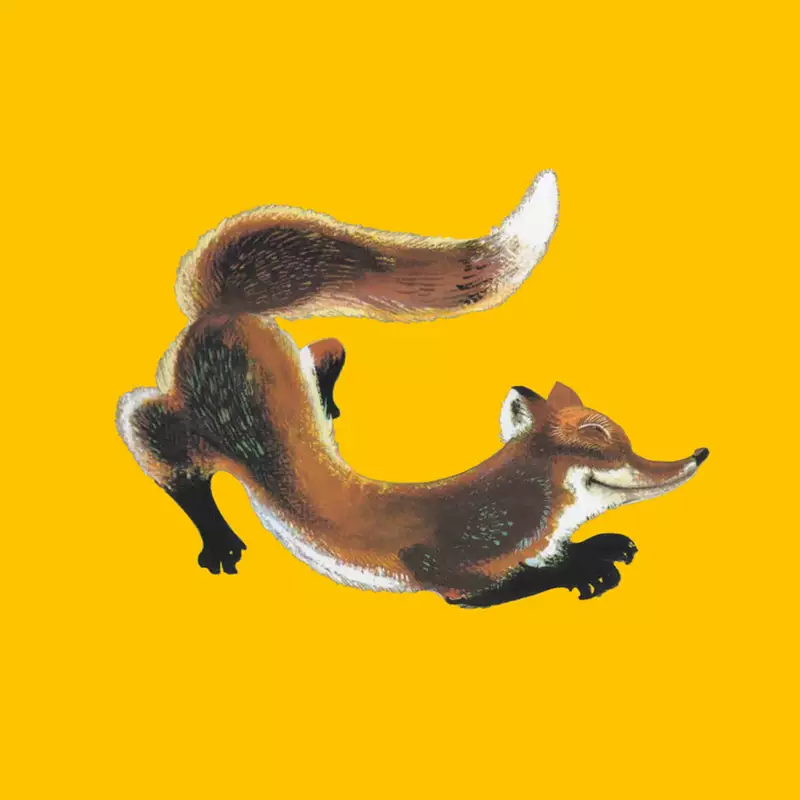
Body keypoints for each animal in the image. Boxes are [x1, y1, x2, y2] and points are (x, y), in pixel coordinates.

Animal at [117, 171, 708, 606]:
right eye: (604, 445)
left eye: (625, 438)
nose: (698, 455)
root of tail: (223, 311)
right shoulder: (450, 572)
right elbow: (520, 578)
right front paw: (588, 564)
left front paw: (596, 548)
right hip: (181, 430)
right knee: (159, 448)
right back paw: (218, 540)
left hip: (291, 357)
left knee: (327, 347)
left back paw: (327, 403)